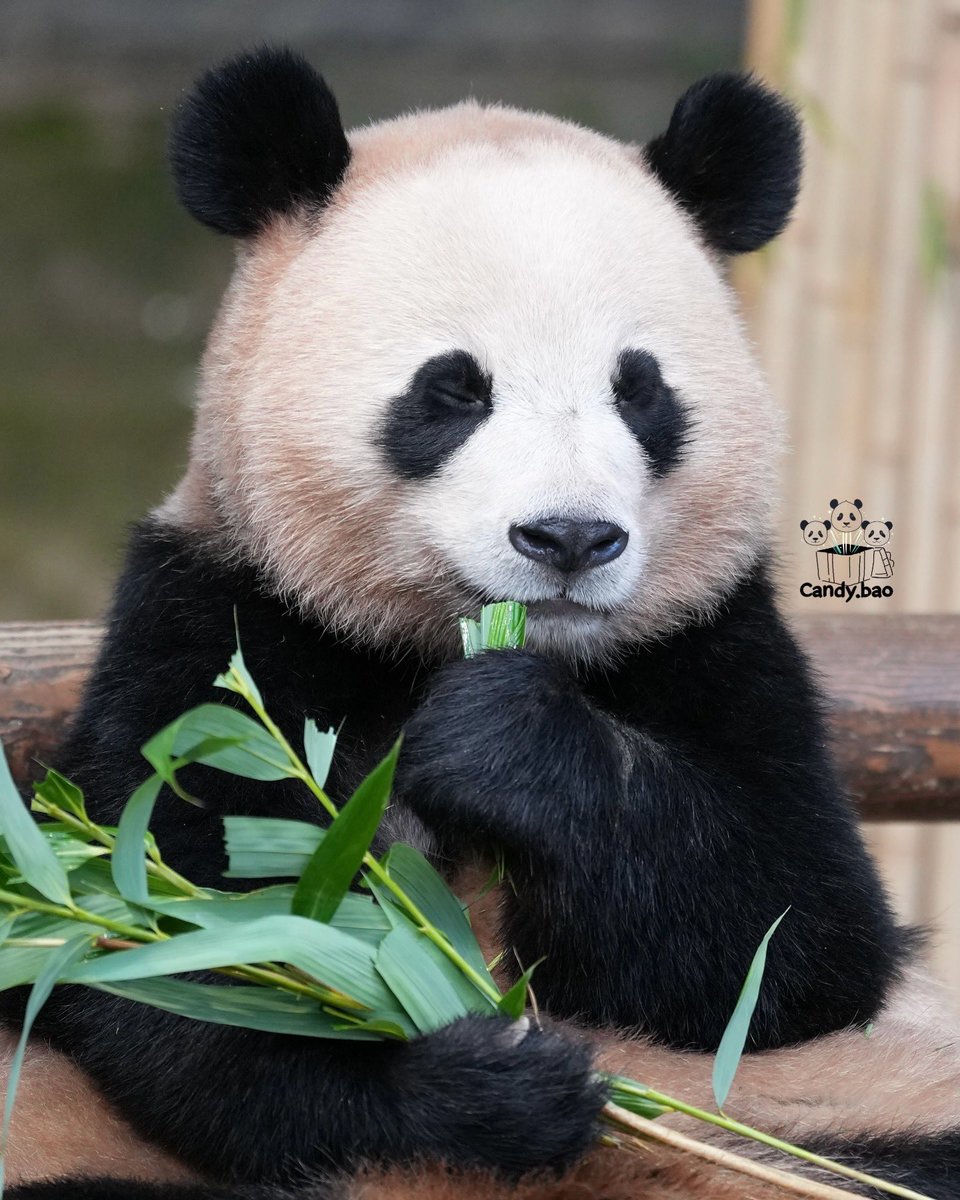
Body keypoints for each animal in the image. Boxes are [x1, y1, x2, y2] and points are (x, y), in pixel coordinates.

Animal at [6, 47, 960, 1200]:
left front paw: (500, 738)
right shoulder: (215, 628)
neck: (444, 643)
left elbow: (798, 936)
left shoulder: (714, 636)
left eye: (640, 390)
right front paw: (483, 1079)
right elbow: (177, 957)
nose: (569, 537)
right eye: (454, 390)